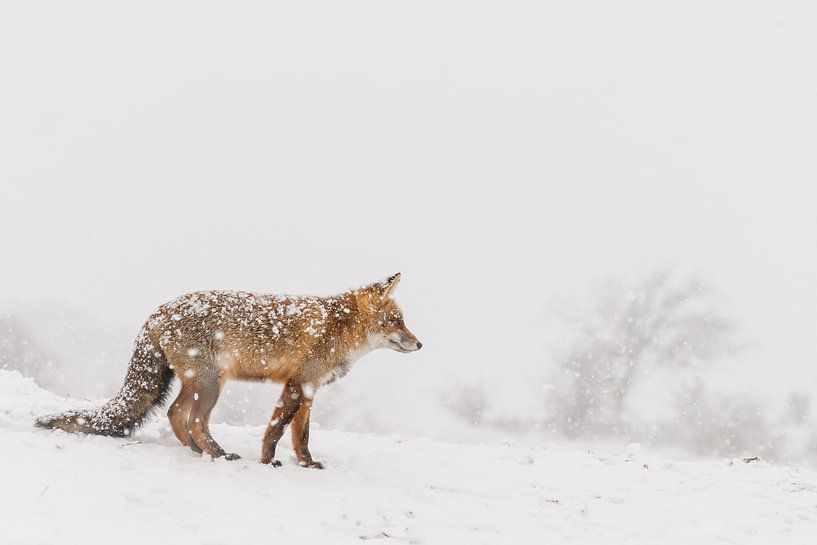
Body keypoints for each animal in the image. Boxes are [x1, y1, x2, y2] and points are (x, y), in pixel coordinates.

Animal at [36, 273, 421, 467]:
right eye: (396, 321)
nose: (420, 345)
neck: (336, 327)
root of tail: (157, 312)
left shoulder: (310, 390)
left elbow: (301, 436)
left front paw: (307, 464)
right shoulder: (296, 385)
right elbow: (276, 430)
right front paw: (267, 461)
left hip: (197, 384)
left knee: (175, 414)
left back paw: (198, 451)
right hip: (210, 385)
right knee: (193, 419)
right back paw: (218, 454)